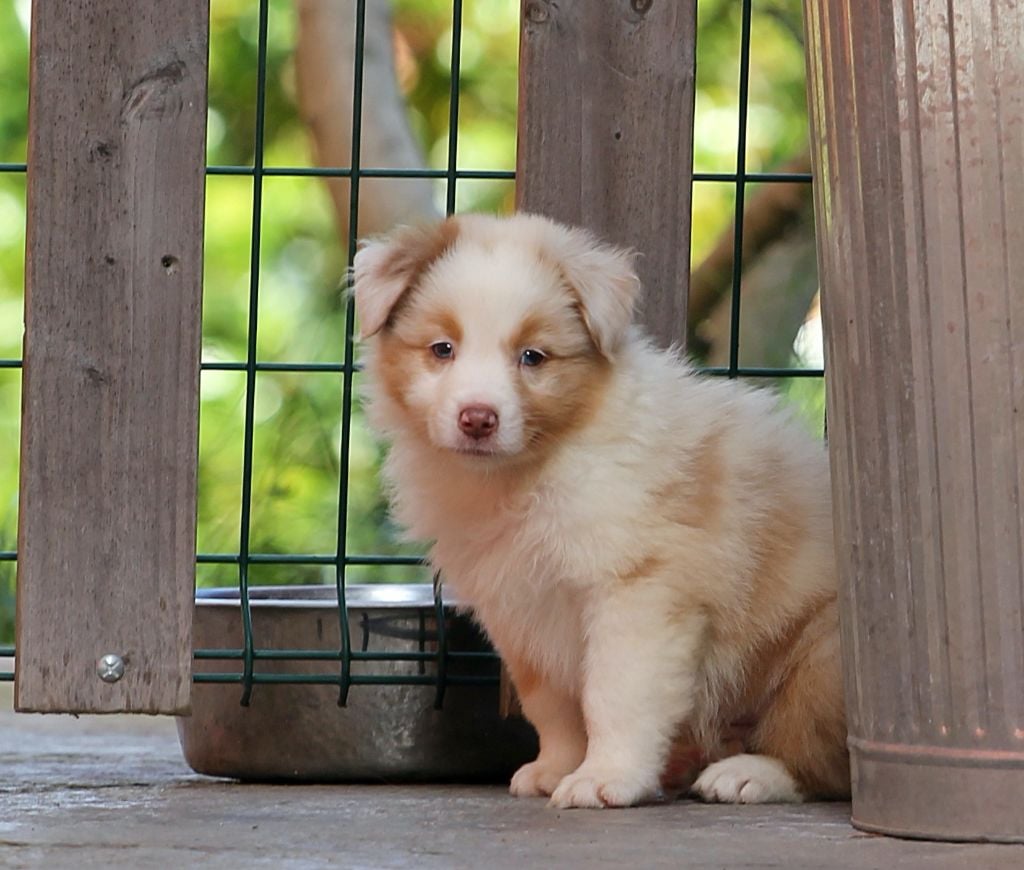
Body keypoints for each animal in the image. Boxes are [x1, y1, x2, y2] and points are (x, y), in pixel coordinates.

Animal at [352, 211, 847, 806]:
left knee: (819, 758)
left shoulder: (638, 589)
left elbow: (613, 695)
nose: (478, 418)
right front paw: (555, 768)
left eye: (532, 357)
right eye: (442, 348)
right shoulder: (520, 610)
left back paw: (746, 773)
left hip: (822, 659)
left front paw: (606, 777)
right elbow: (554, 707)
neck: (528, 474)